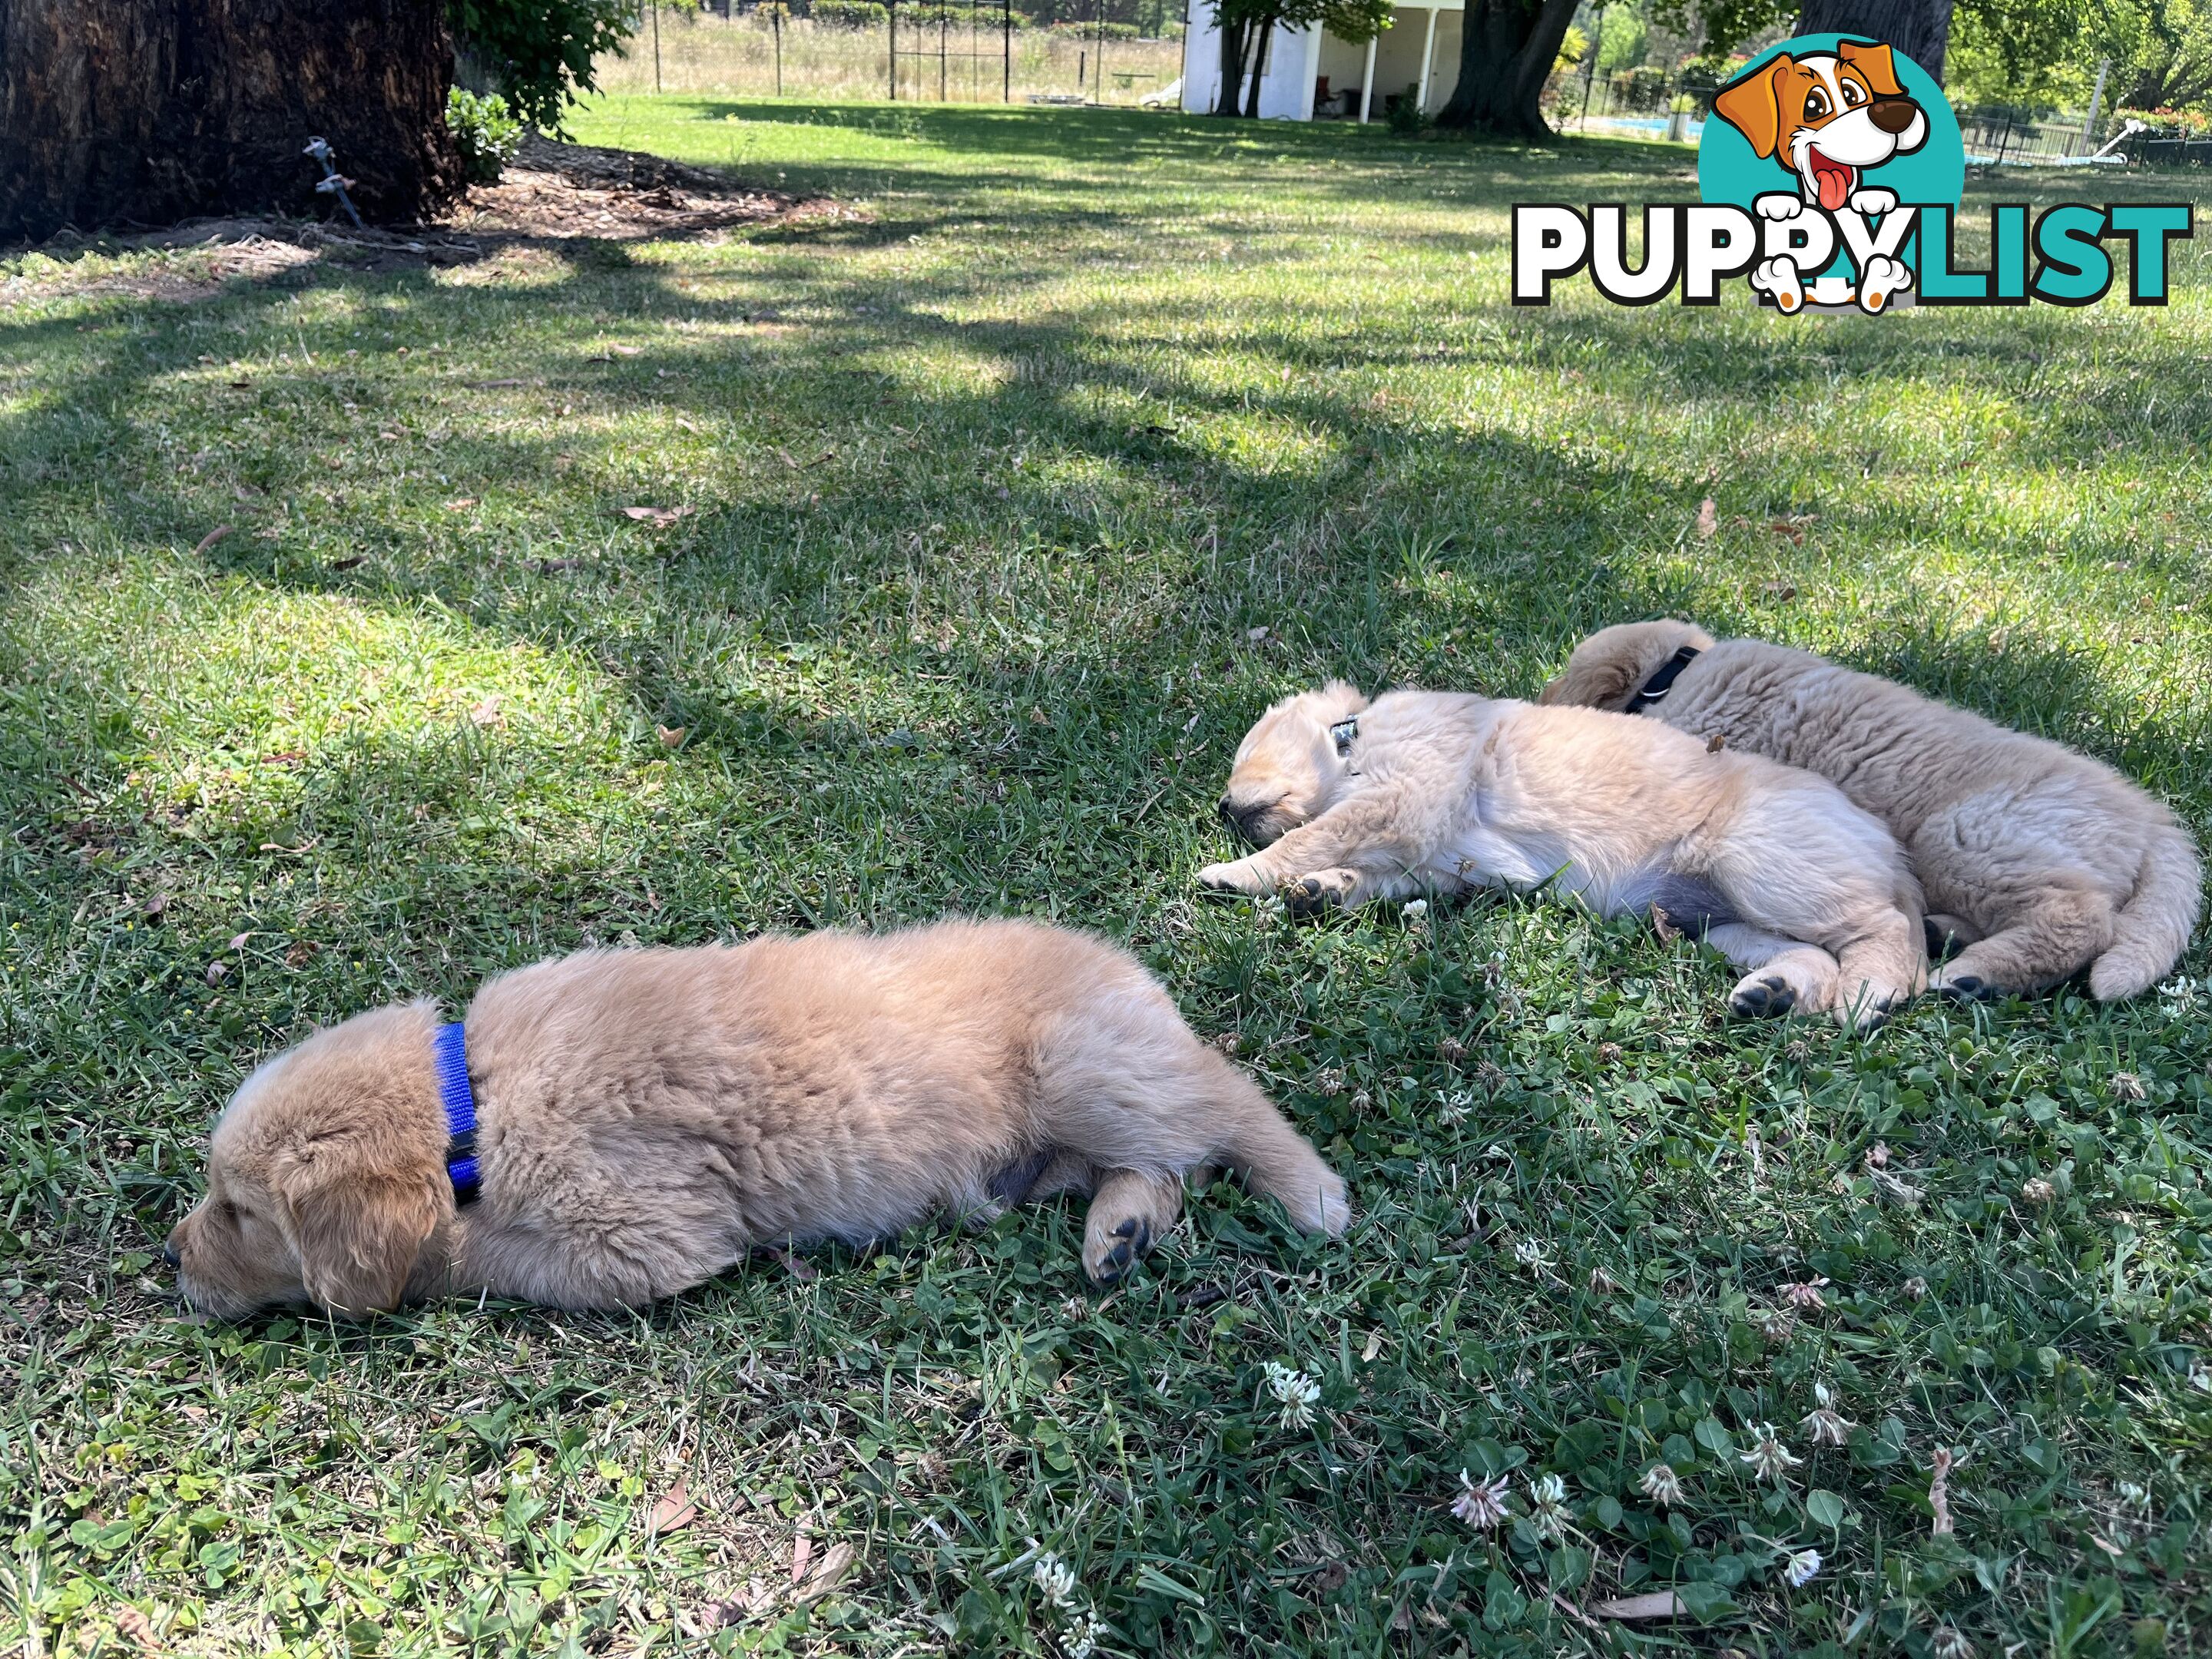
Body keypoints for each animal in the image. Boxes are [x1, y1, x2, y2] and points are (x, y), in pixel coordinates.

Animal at [164, 916, 1336, 1318]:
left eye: (239, 1211)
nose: (169, 1259)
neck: (474, 1100)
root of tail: (1134, 973)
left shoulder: (642, 1239)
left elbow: (468, 1256)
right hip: (1054, 1145)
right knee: (1161, 1168)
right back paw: (1119, 1234)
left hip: (1083, 1064)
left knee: (1222, 1100)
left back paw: (1313, 1193)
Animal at [1203, 685, 1929, 1026]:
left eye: (1247, 755)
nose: (1222, 809)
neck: (1353, 738)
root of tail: (1888, 847)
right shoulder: (1431, 859)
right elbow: (1360, 873)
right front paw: (1321, 890)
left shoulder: (1402, 798)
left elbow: (1308, 837)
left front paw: (1234, 874)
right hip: (1720, 923)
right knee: (1813, 955)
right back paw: (1773, 995)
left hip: (1765, 861)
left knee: (1885, 930)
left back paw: (1869, 994)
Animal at [1548, 628, 2203, 999]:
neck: (1680, 670)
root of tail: (2153, 819)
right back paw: (1946, 937)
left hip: (1964, 836)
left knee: (2081, 920)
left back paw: (1973, 975)